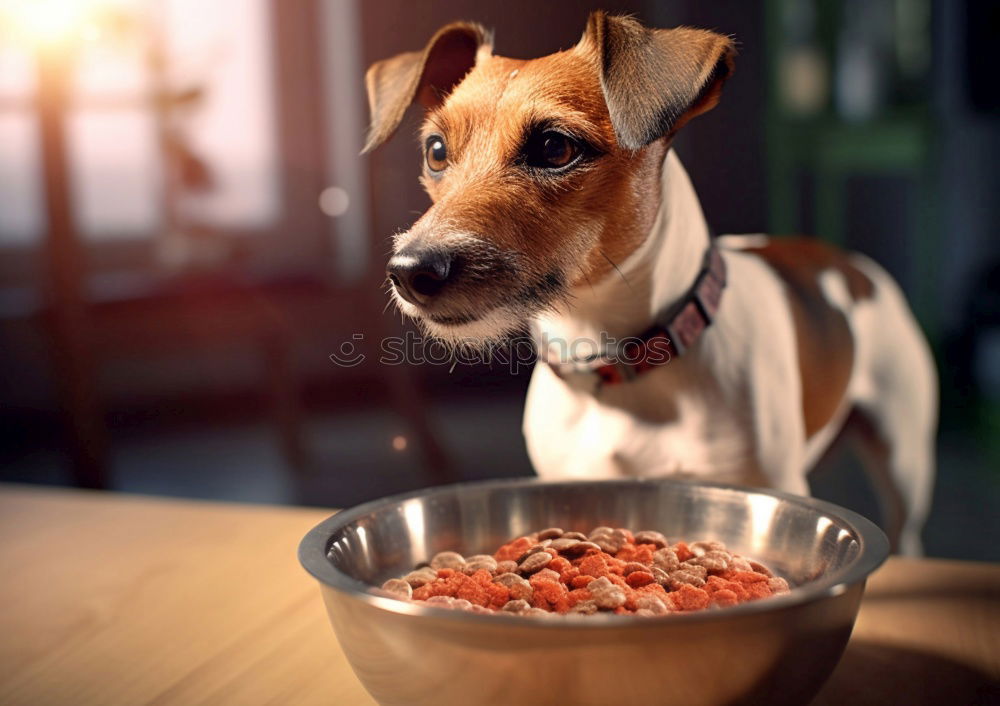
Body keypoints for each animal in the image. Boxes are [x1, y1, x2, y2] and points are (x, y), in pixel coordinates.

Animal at [366, 9, 936, 552]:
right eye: (436, 151)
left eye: (554, 148)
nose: (410, 271)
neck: (610, 365)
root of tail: (847, 263)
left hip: (903, 458)